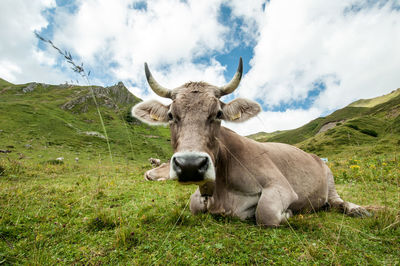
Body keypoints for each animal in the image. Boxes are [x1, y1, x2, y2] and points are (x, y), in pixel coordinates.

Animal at [133, 58, 370, 227]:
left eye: (218, 113)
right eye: (171, 115)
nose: (190, 165)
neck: (220, 192)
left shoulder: (280, 186)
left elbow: (265, 213)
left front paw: (288, 213)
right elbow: (194, 205)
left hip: (329, 178)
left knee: (338, 201)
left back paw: (357, 209)